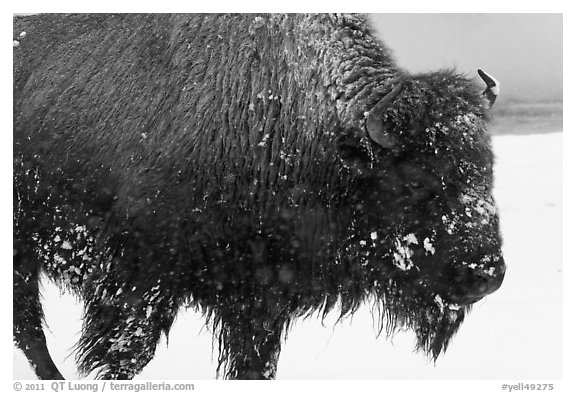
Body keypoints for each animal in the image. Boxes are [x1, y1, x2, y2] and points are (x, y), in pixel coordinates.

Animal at [13, 13, 506, 378]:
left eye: (487, 169)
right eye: (418, 180)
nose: (486, 275)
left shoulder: (260, 297)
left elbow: (255, 364)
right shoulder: (140, 284)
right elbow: (124, 357)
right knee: (30, 328)